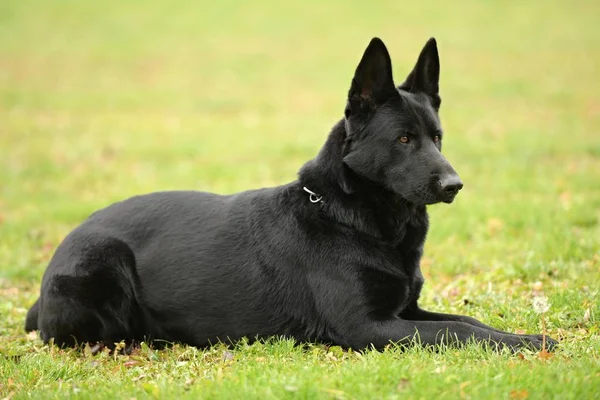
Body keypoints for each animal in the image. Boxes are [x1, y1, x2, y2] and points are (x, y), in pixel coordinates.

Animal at [24, 36, 556, 350]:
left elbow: (471, 323)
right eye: (404, 139)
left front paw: (522, 335)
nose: (454, 185)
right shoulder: (371, 327)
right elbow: (457, 330)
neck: (347, 217)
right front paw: (532, 343)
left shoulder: (405, 312)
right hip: (104, 262)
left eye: (437, 137)